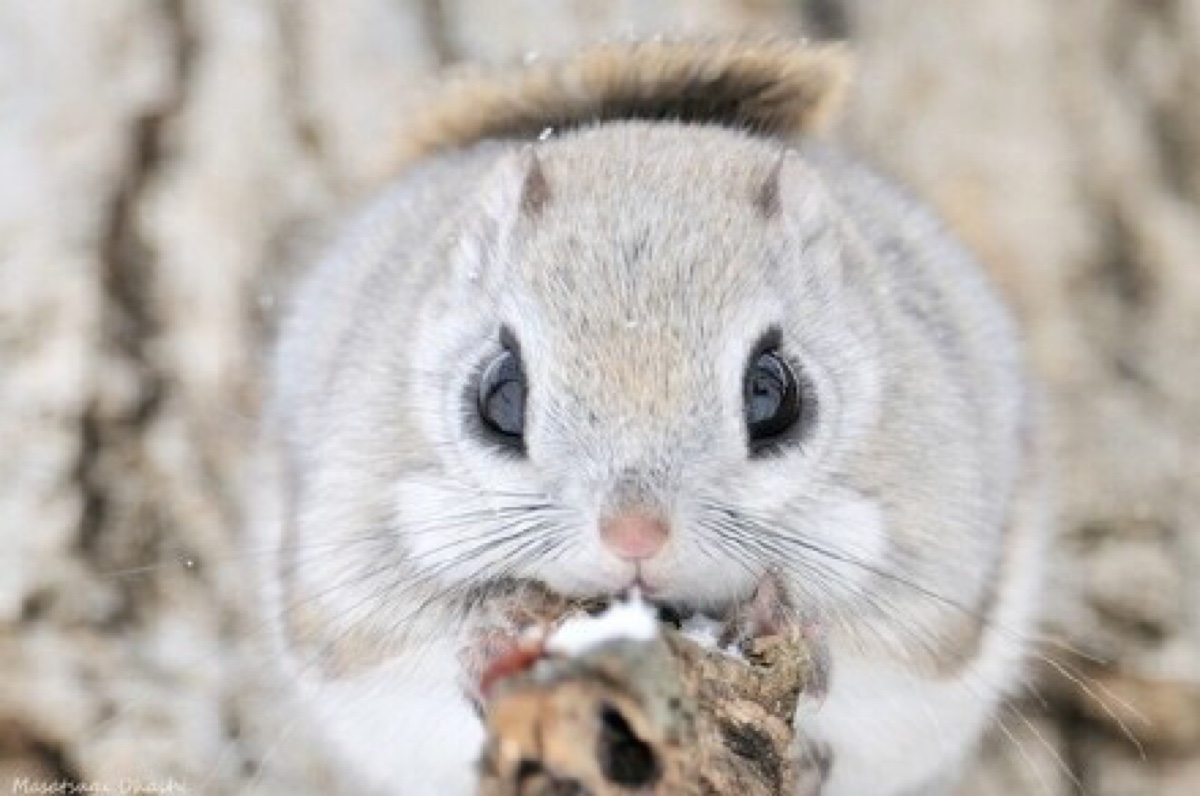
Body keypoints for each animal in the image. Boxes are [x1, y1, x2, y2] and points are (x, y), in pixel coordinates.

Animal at [255, 37, 1051, 796]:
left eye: (773, 394)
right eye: (500, 394)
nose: (634, 535)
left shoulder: (934, 557)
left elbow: (877, 646)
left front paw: (782, 620)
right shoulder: (353, 553)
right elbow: (400, 642)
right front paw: (495, 629)